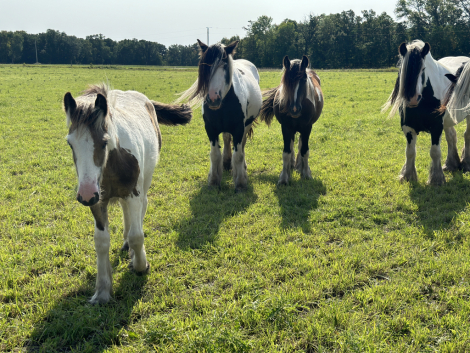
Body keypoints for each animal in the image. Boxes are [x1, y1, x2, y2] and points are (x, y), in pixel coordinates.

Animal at [62, 83, 191, 302]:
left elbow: (137, 236)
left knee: (142, 209)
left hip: (144, 183)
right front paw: (102, 291)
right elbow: (101, 242)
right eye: (70, 144)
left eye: (104, 142)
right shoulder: (98, 201)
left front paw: (140, 265)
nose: (85, 195)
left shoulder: (133, 194)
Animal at [177, 40, 264, 191]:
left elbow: (238, 155)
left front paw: (240, 182)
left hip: (247, 125)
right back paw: (227, 162)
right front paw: (213, 180)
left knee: (242, 146)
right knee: (226, 139)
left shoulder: (239, 128)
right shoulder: (210, 129)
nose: (213, 98)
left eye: (224, 66)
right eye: (204, 66)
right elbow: (214, 154)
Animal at [258, 54, 324, 184]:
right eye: (286, 81)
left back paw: (300, 165)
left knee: (300, 145)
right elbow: (286, 152)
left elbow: (305, 150)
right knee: (293, 144)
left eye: (304, 80)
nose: (294, 109)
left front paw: (306, 173)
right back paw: (293, 165)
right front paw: (284, 177)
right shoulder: (286, 127)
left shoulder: (307, 128)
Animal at [382, 39, 470, 184]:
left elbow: (435, 152)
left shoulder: (436, 127)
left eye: (423, 69)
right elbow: (410, 152)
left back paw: (466, 164)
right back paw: (451, 164)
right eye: (402, 70)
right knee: (451, 136)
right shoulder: (408, 128)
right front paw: (407, 176)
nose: (412, 98)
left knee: (466, 135)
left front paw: (436, 179)